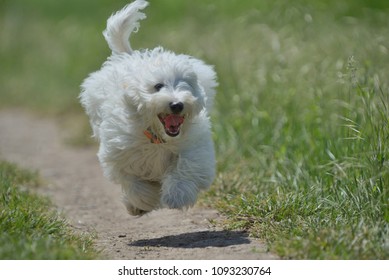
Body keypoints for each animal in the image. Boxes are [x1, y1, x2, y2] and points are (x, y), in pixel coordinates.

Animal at [80, 0, 217, 217]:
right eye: (157, 86)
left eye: (185, 85)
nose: (177, 104)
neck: (158, 139)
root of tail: (128, 57)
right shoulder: (120, 154)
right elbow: (133, 181)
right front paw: (144, 201)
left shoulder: (194, 148)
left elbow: (187, 167)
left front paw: (176, 195)